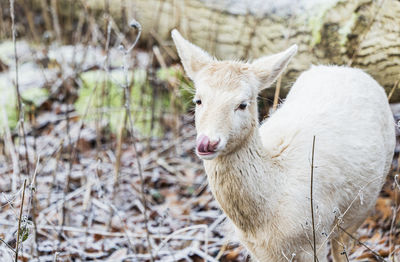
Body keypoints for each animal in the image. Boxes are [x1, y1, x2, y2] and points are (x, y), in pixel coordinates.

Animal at [171, 29, 394, 262]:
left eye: (242, 104)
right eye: (198, 100)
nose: (207, 142)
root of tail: (349, 70)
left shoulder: (313, 239)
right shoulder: (256, 250)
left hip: (362, 206)